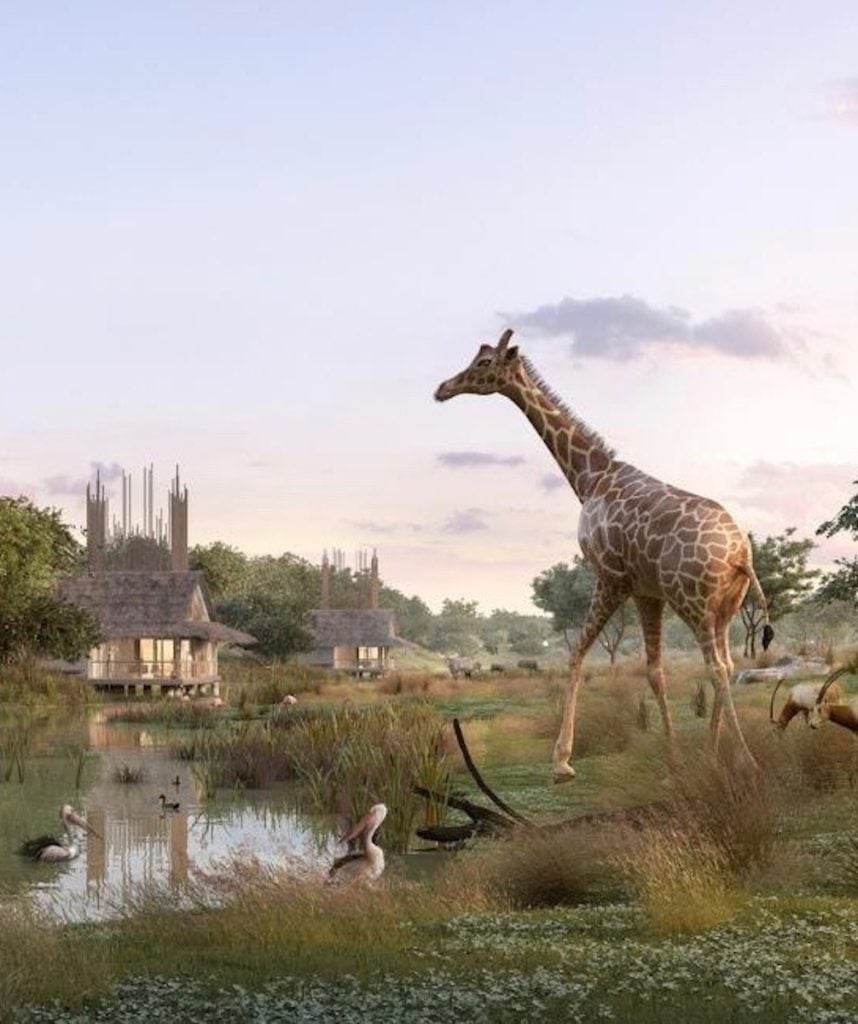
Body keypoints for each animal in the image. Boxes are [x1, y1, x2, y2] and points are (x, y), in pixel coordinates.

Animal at [435, 328, 772, 782]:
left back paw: (748, 762)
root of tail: (741, 553)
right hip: (724, 608)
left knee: (717, 668)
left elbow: (576, 655)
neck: (589, 477)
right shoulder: (646, 591)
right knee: (730, 666)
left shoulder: (611, 577)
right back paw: (712, 754)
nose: (443, 388)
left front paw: (562, 761)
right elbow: (654, 672)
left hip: (693, 603)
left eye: (484, 363)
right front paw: (674, 761)